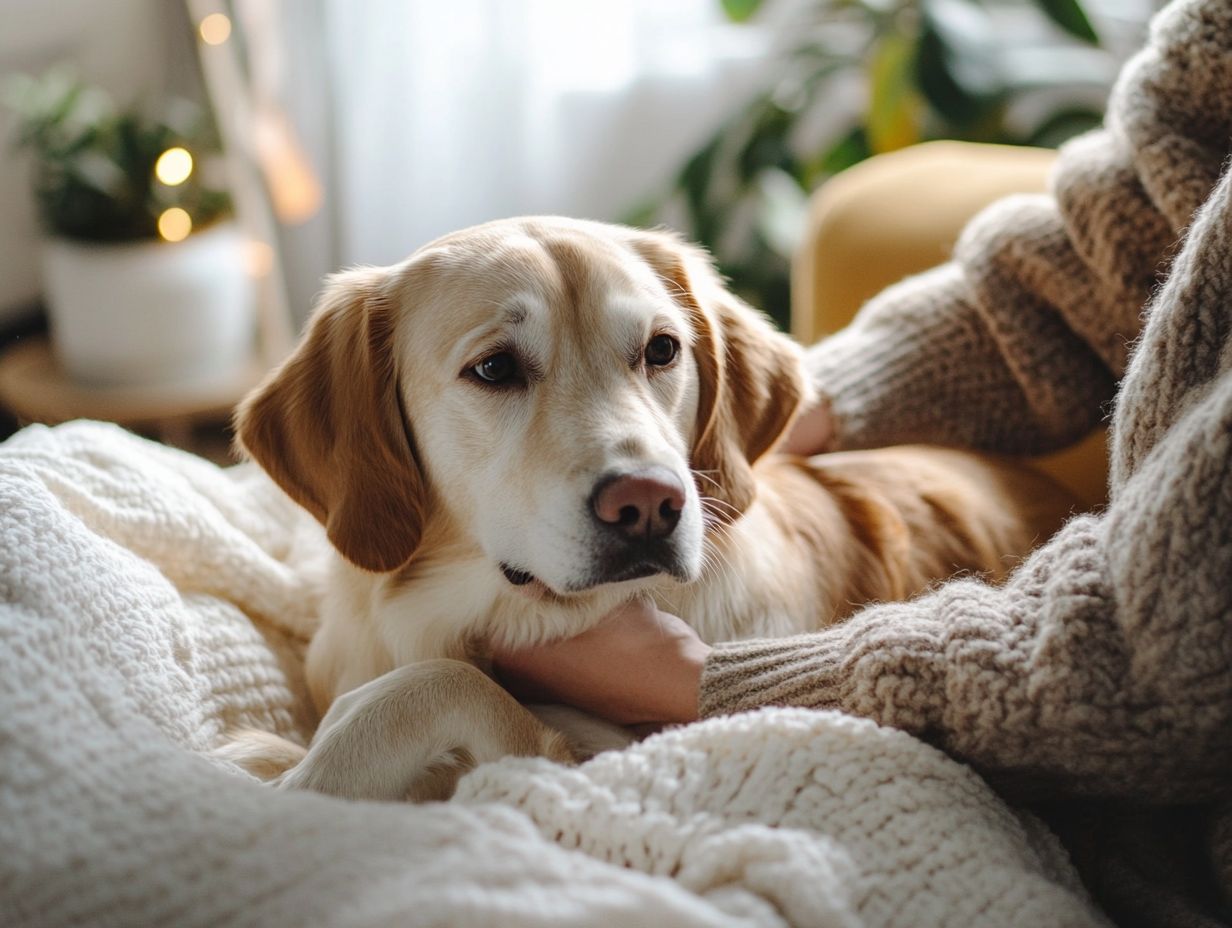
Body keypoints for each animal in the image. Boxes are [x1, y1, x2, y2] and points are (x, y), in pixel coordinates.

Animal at [226, 213, 1074, 798]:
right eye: (494, 368)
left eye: (661, 349)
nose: (648, 504)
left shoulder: (590, 762)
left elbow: (439, 686)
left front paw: (302, 781)